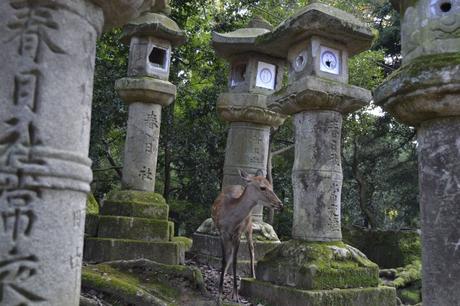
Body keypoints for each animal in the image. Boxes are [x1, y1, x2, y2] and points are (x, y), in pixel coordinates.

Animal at [212, 170, 284, 304]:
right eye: (263, 187)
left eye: (271, 186)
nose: (280, 204)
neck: (230, 220)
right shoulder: (222, 233)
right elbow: (224, 259)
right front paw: (219, 295)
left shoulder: (238, 233)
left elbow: (235, 261)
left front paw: (235, 295)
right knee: (230, 255)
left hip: (249, 225)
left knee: (251, 249)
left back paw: (253, 276)